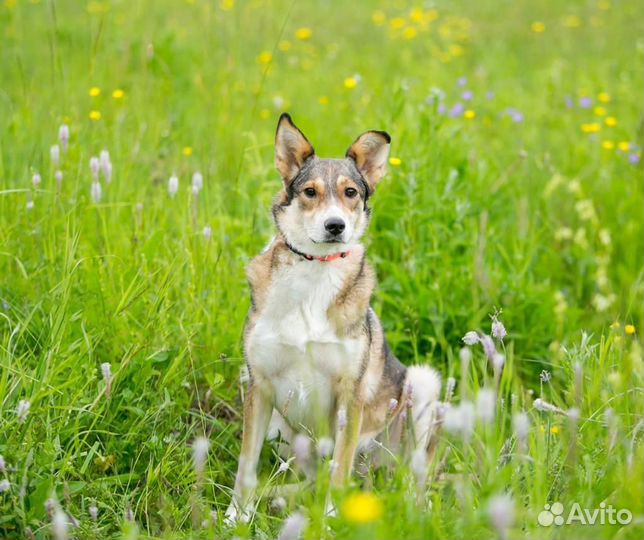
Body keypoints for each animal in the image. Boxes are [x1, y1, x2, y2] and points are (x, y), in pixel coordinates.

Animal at [224, 114, 440, 524]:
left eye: (350, 192)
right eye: (310, 192)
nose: (335, 225)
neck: (315, 273)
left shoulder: (349, 395)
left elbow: (339, 469)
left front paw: (331, 520)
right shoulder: (259, 385)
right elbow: (246, 466)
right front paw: (235, 517)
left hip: (423, 385)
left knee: (410, 478)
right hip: (281, 428)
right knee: (310, 479)